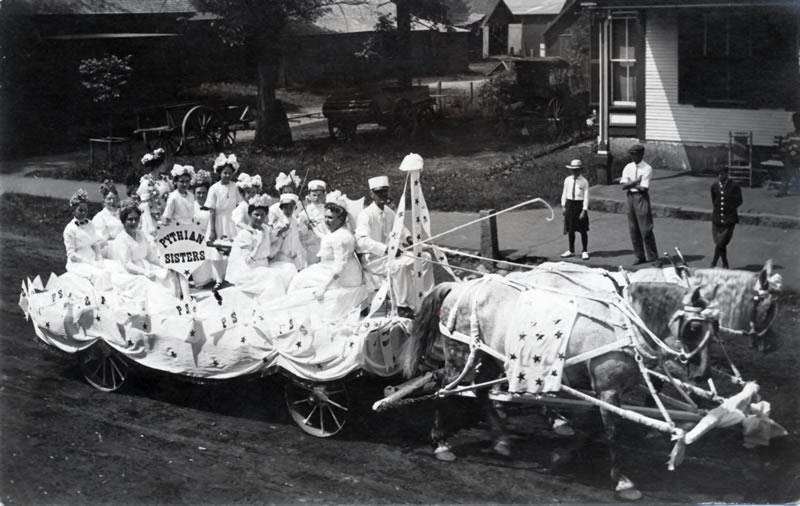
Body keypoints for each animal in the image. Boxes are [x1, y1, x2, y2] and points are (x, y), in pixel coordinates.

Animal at [400, 274, 720, 500]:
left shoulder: (603, 390)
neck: (624, 326)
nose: (702, 374)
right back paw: (441, 442)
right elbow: (611, 433)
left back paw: (501, 439)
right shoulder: (608, 389)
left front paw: (565, 455)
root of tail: (458, 286)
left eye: (716, 327)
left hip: (489, 356)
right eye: (694, 327)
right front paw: (623, 481)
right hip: (461, 353)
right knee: (444, 390)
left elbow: (591, 426)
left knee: (480, 392)